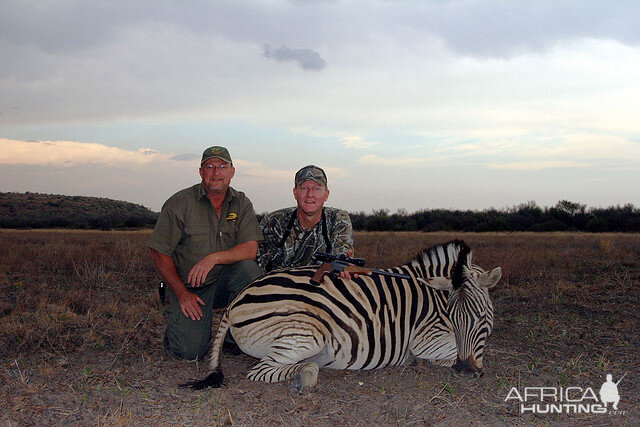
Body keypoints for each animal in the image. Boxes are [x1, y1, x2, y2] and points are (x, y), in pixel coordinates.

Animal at [182, 241, 502, 392]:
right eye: (453, 316)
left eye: (481, 316)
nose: (465, 371)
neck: (432, 297)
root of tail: (236, 300)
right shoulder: (425, 338)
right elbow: (452, 351)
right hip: (309, 333)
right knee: (262, 370)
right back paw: (304, 374)